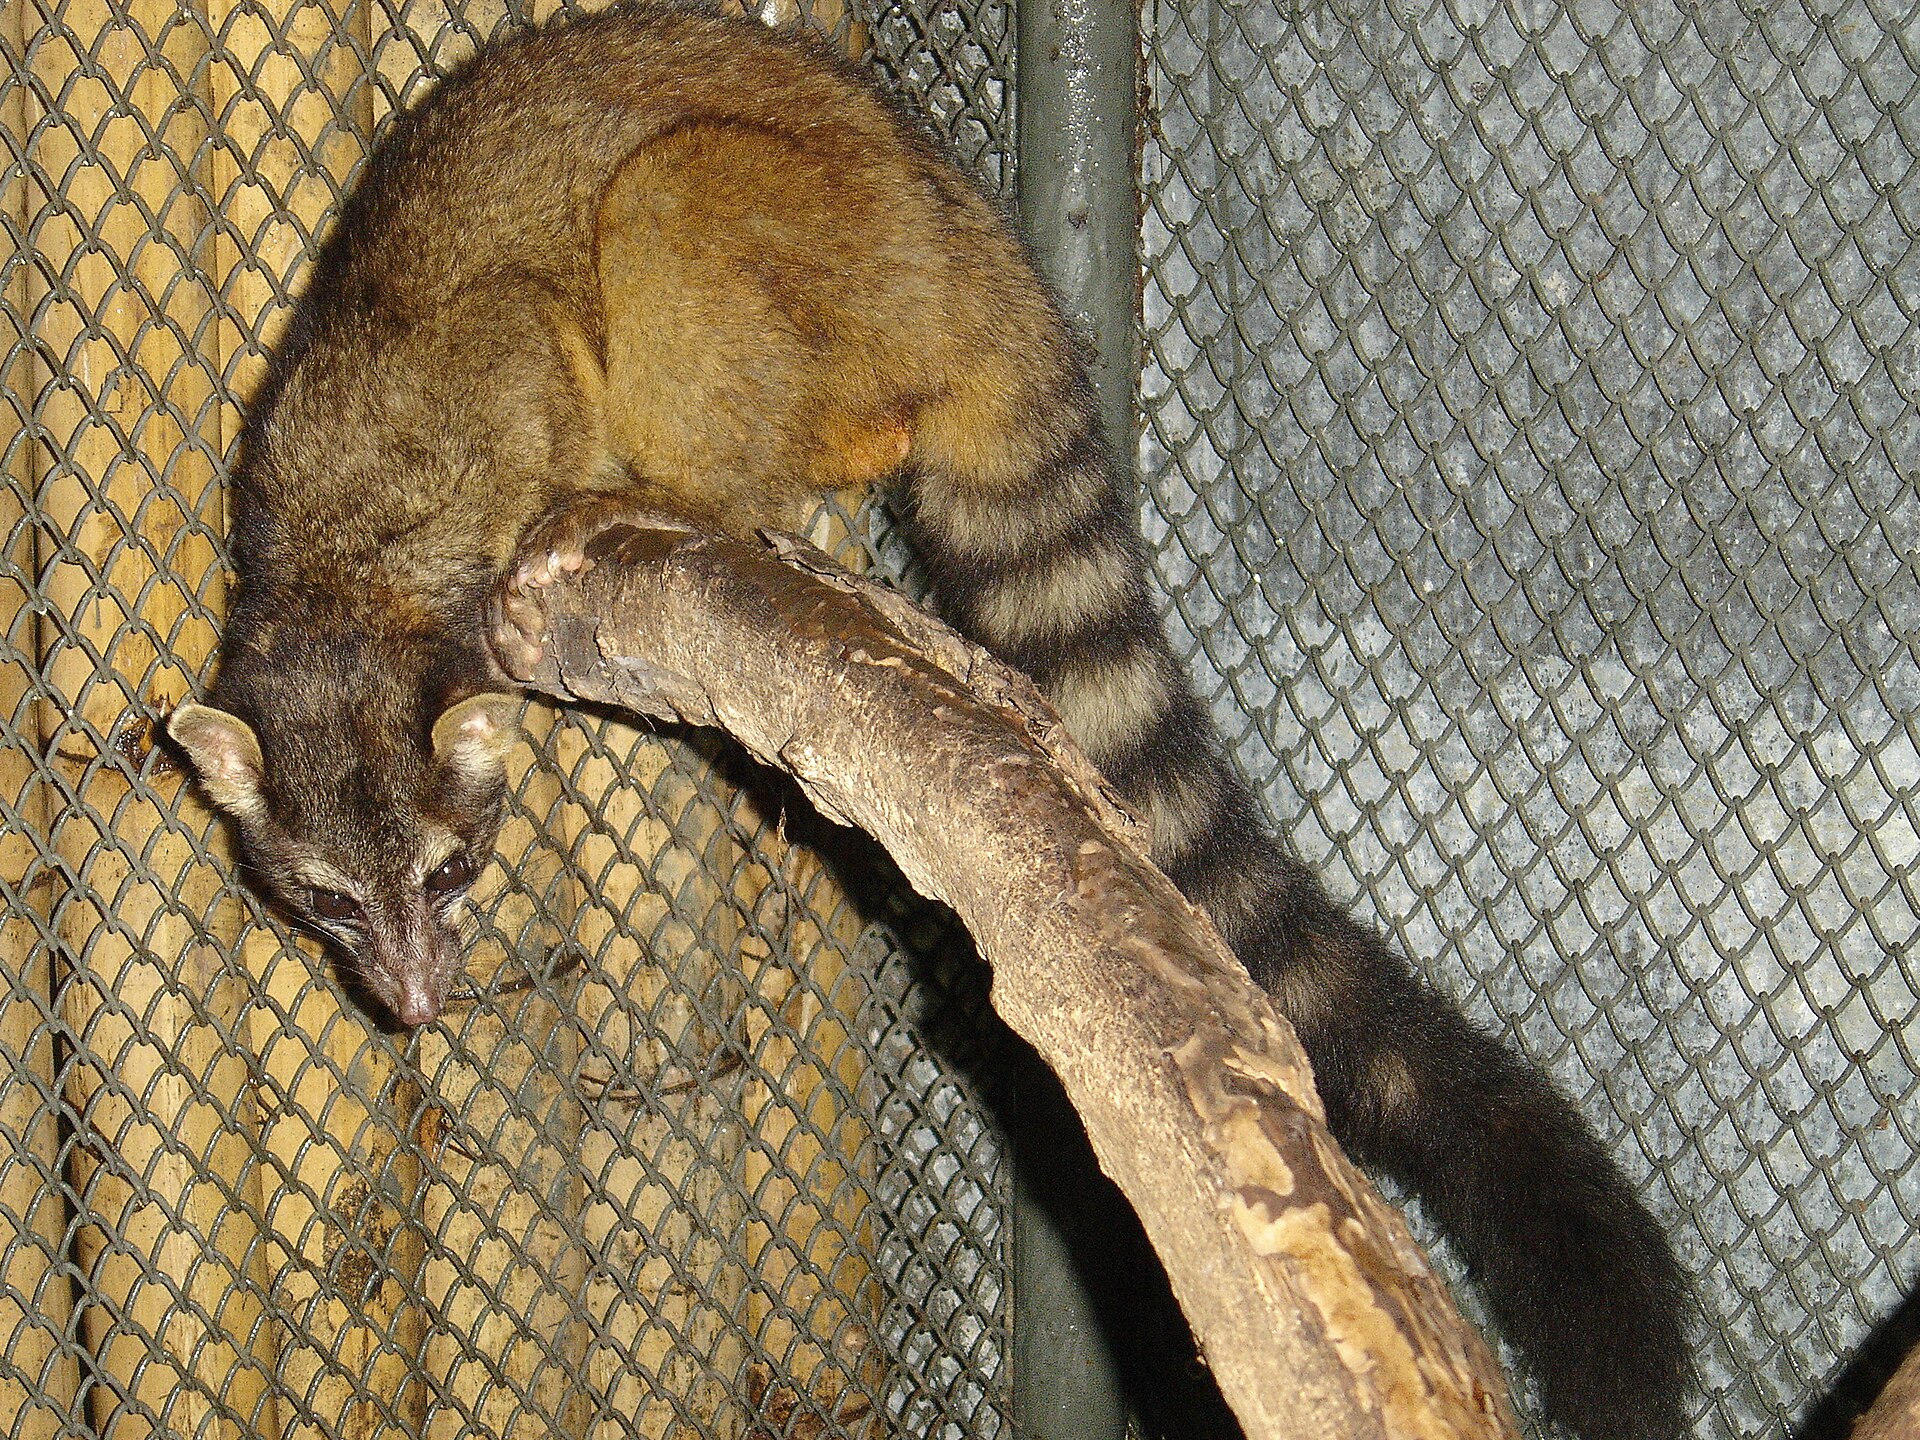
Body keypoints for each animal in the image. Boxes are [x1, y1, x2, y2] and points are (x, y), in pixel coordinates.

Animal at [166, 6, 1690, 1436]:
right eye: (326, 901)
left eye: (448, 873)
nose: (417, 1007)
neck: (342, 589)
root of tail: (973, 254)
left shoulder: (492, 380)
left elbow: (536, 347)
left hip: (817, 244)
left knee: (665, 213)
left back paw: (683, 487)